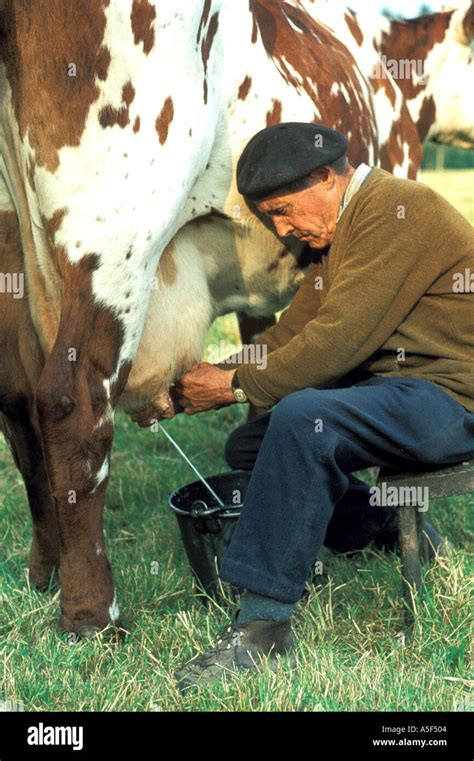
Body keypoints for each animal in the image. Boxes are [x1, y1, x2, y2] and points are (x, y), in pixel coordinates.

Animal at [0, 0, 472, 636]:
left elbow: (266, 356)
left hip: (16, 257)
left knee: (21, 410)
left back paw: (42, 575)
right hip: (116, 230)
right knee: (69, 401)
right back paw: (94, 616)